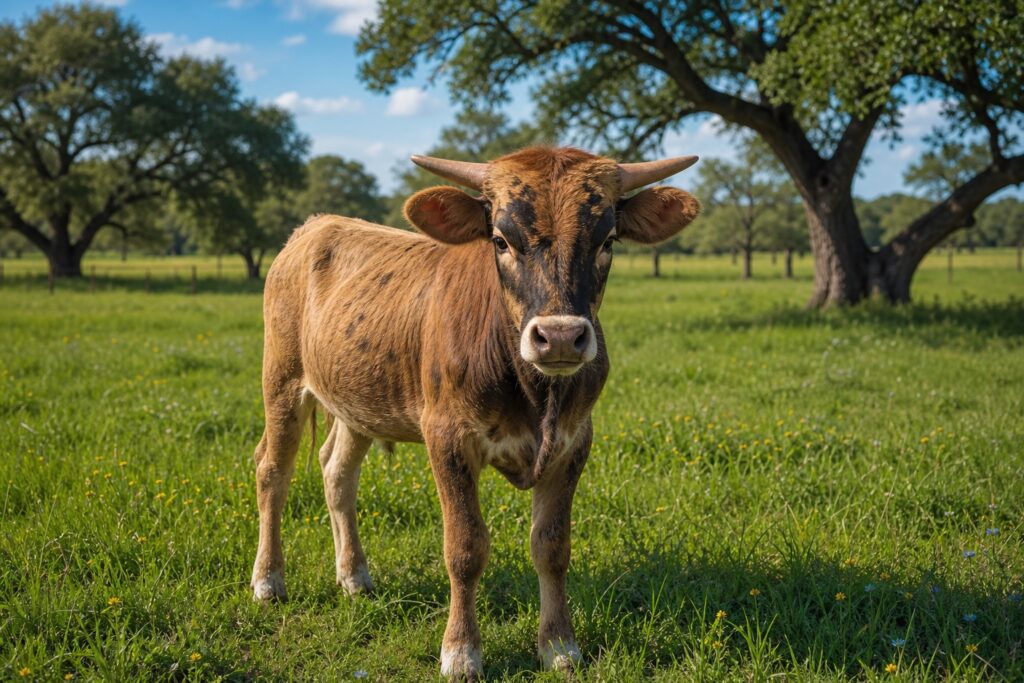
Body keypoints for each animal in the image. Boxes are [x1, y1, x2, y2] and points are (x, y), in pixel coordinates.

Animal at [250, 146, 700, 679]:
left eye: (607, 239)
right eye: (501, 240)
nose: (560, 336)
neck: (533, 392)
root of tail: (316, 226)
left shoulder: (573, 442)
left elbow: (552, 547)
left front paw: (559, 644)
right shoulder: (448, 438)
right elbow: (465, 548)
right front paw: (461, 651)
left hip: (358, 401)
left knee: (337, 473)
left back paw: (355, 576)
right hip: (282, 381)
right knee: (272, 471)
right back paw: (268, 581)